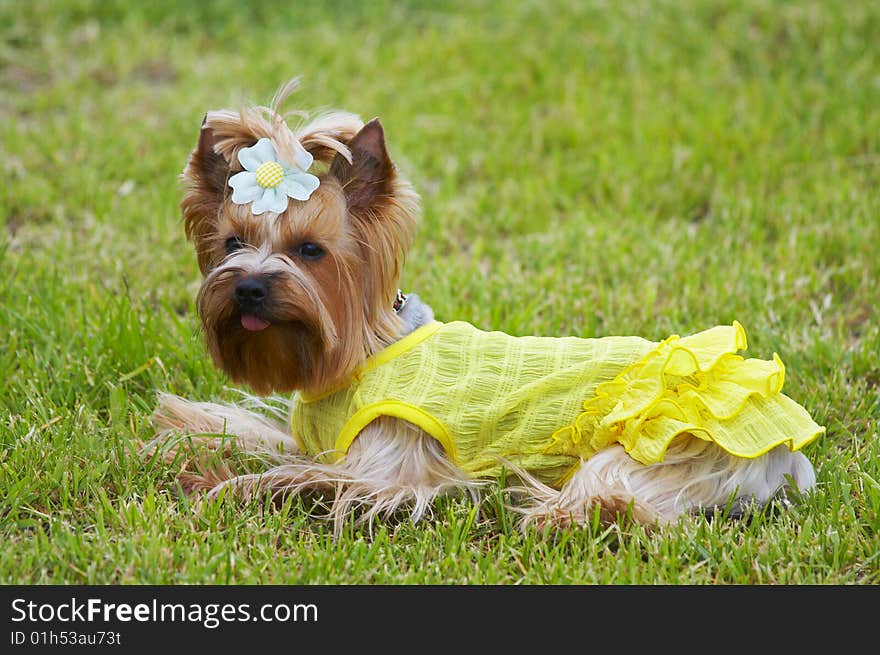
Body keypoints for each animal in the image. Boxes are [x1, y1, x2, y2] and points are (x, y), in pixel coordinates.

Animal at [148, 79, 820, 536]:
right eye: (233, 245)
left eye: (310, 250)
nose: (249, 288)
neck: (356, 353)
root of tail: (786, 456)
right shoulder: (320, 442)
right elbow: (251, 432)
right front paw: (185, 439)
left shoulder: (393, 471)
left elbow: (297, 478)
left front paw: (220, 488)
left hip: (645, 448)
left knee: (612, 499)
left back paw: (545, 512)